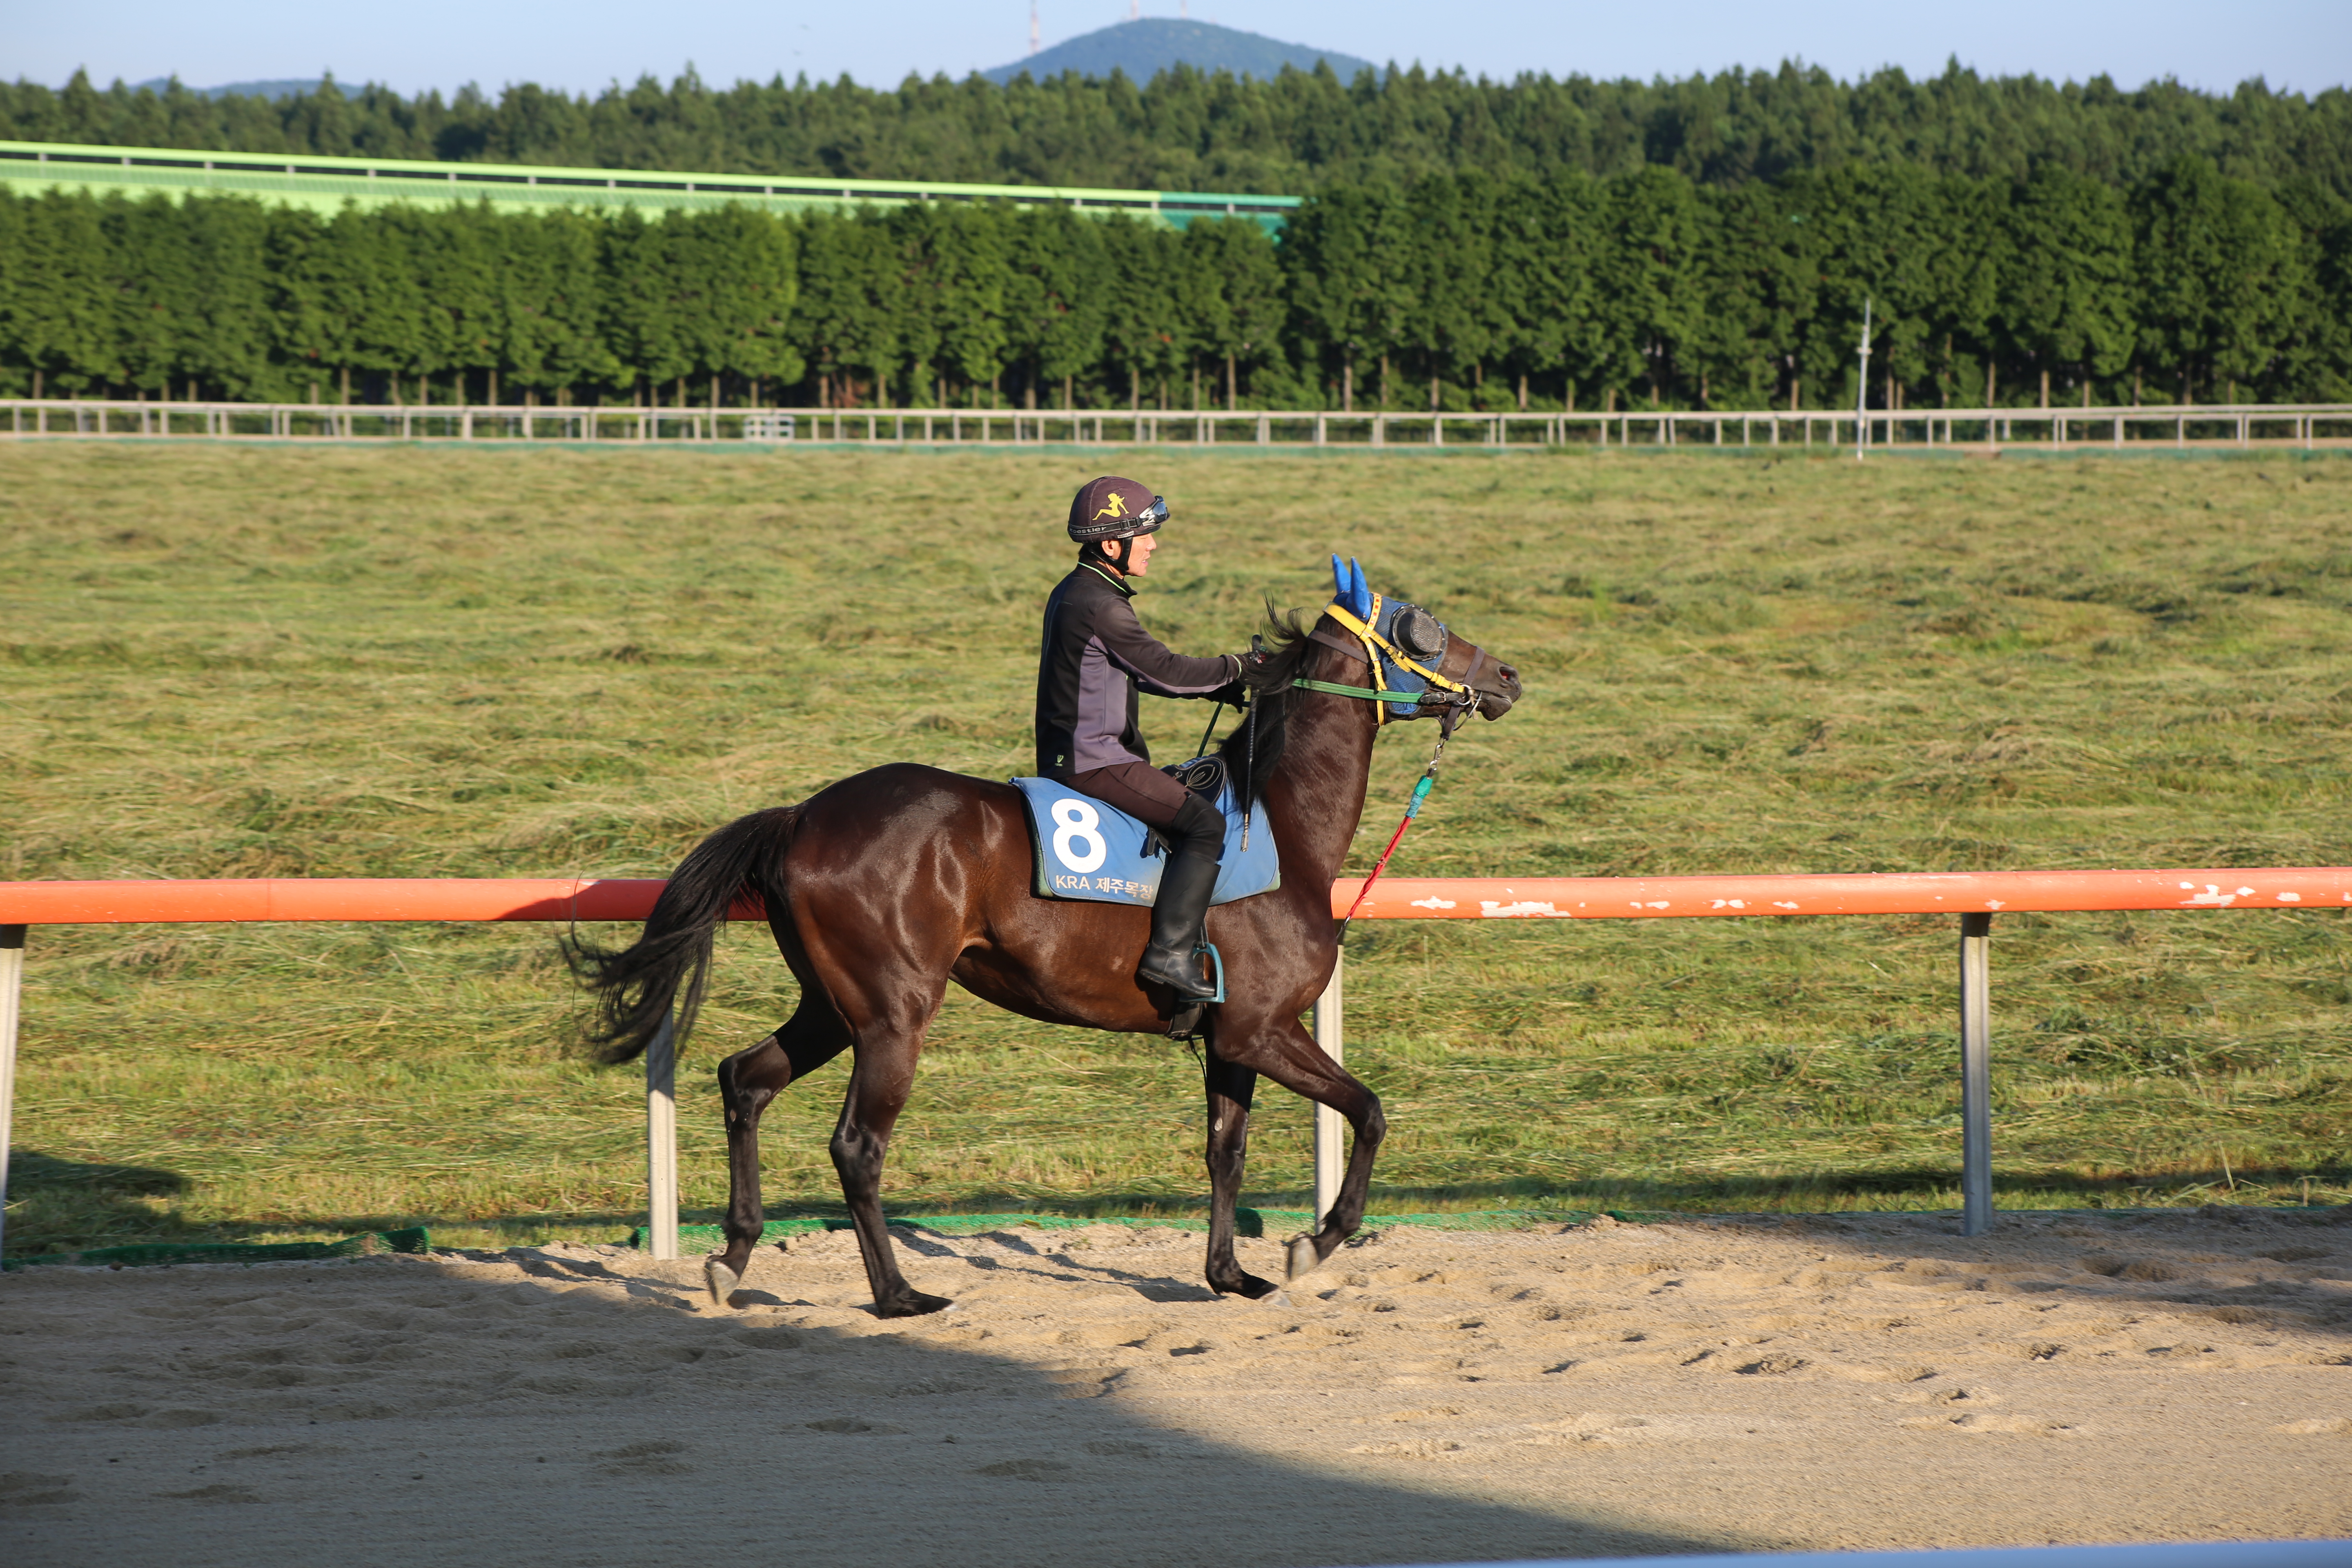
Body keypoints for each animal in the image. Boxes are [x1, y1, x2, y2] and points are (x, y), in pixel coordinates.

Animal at [571, 583, 1524, 1316]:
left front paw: (1230, 1273)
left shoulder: (1231, 1040)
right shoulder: (1262, 1030)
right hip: (894, 1015)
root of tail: (802, 814)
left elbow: (1227, 1151)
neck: (1281, 829)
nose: (1508, 676)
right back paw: (898, 1294)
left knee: (746, 1079)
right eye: (1421, 625)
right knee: (856, 1146)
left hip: (834, 1006)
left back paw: (732, 1257)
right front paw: (1316, 1241)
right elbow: (1369, 1110)